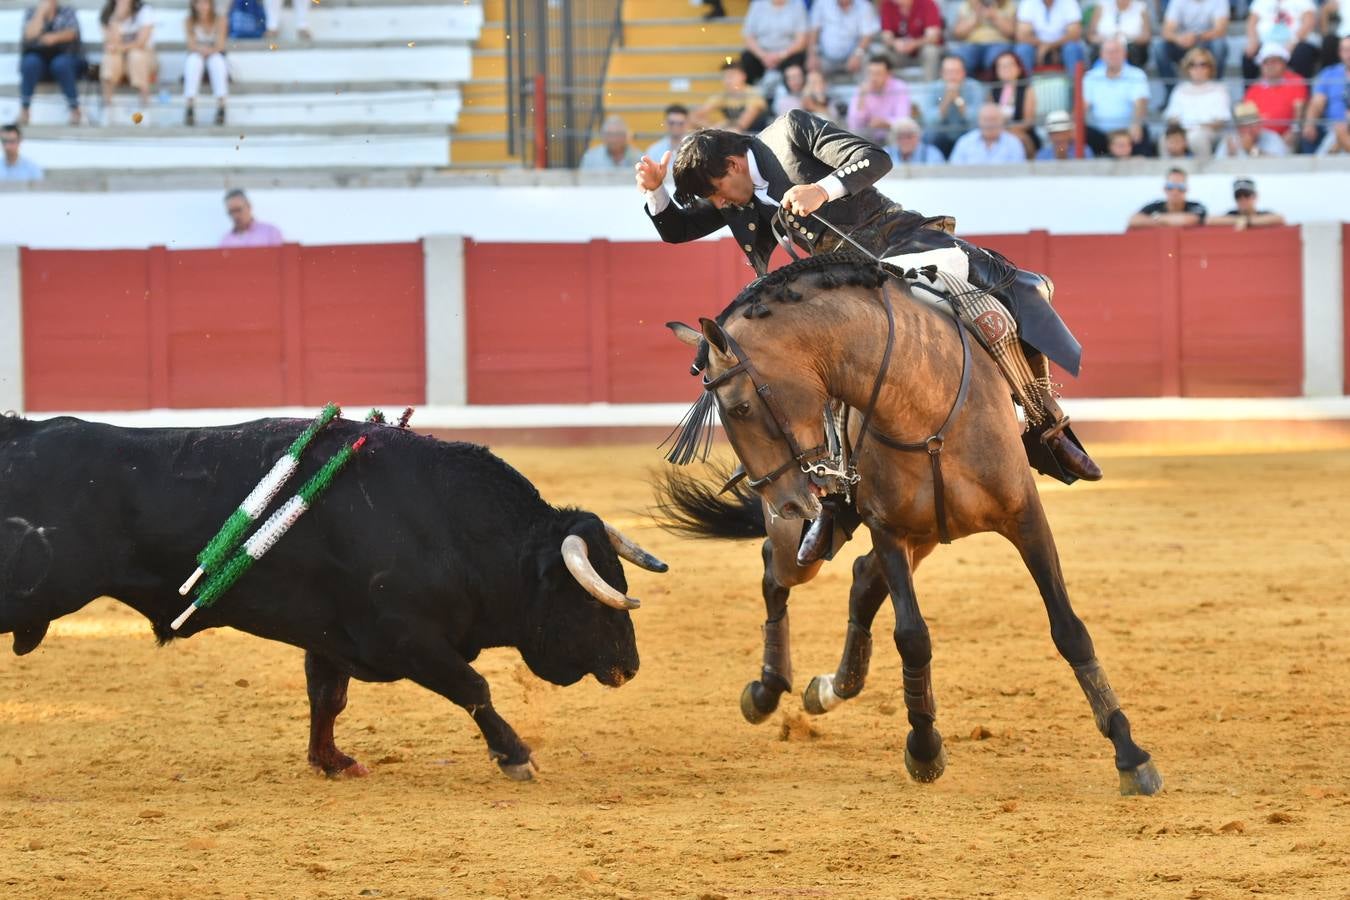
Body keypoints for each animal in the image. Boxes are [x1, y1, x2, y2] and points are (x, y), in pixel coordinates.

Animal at [0, 415, 664, 782]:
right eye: (591, 600)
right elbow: (474, 687)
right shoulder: (408, 637)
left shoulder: (329, 637)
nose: (631, 667)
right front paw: (516, 756)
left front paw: (333, 761)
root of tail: (20, 431)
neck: (448, 526)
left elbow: (328, 699)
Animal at [658, 252, 1166, 793]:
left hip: (926, 534)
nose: (789, 503)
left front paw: (1130, 753)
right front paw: (924, 748)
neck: (921, 408)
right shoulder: (889, 530)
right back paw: (767, 689)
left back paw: (831, 687)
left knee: (858, 579)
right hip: (831, 544)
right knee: (777, 570)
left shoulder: (1024, 515)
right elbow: (912, 637)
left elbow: (1068, 628)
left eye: (739, 407)